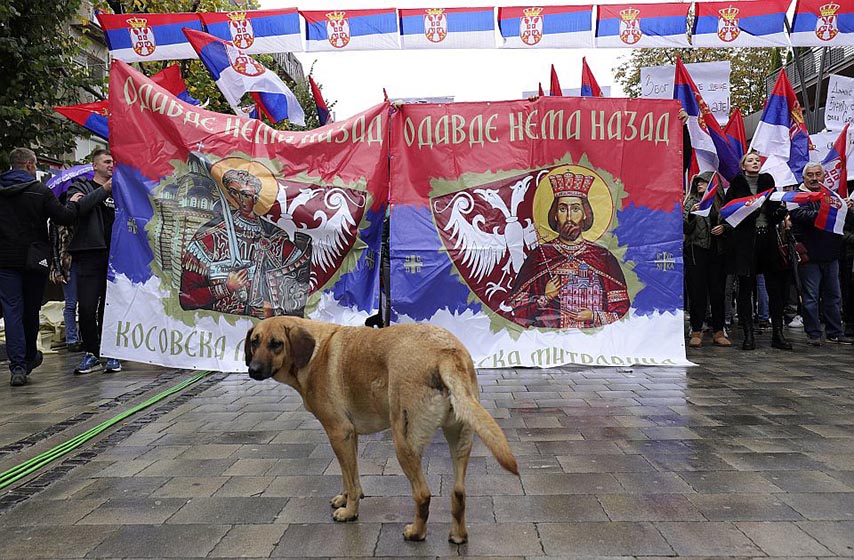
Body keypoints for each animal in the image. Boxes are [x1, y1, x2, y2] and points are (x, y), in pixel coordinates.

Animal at [244, 318, 520, 544]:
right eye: (255, 342)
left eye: (276, 344)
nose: (253, 370)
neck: (314, 353)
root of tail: (445, 352)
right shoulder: (349, 436)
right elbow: (350, 475)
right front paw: (346, 498)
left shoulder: (338, 433)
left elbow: (351, 478)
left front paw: (350, 511)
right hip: (460, 438)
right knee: (459, 492)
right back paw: (458, 535)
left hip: (403, 442)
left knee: (423, 495)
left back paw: (416, 532)